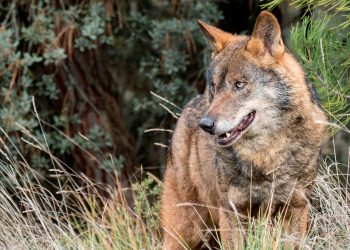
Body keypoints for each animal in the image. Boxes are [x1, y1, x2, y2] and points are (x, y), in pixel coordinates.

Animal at [160, 10, 326, 249]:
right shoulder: (232, 212)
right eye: (214, 86)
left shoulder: (295, 209)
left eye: (239, 84)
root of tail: (190, 105)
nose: (206, 124)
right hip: (187, 229)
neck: (265, 156)